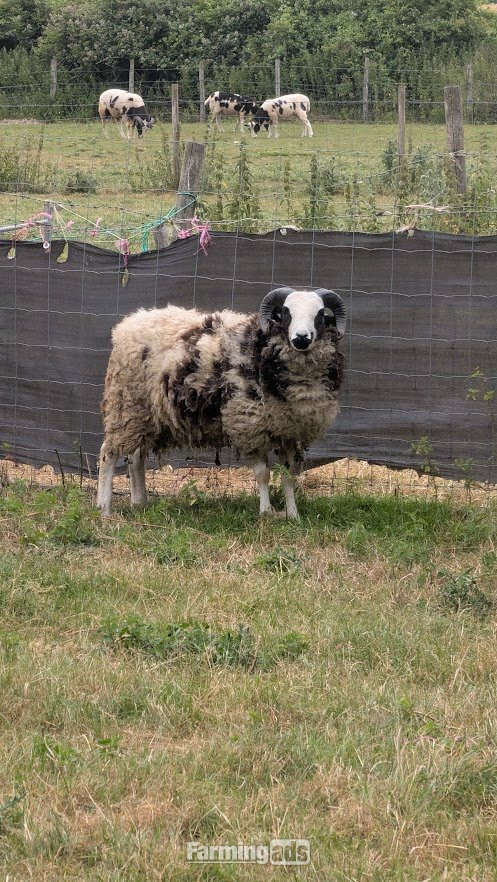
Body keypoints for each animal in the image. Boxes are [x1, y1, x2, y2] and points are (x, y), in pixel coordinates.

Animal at [96, 287, 346, 520]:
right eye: (286, 313)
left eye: (320, 314)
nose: (301, 338)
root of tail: (127, 324)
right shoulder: (248, 427)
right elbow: (263, 474)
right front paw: (265, 512)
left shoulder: (289, 432)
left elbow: (287, 476)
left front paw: (293, 515)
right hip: (125, 406)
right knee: (108, 454)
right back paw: (104, 508)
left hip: (148, 416)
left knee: (136, 457)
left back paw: (140, 504)